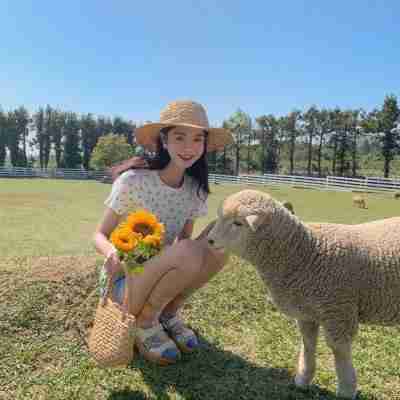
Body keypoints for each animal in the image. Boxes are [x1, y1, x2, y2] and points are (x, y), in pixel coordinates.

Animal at [208, 190, 400, 400]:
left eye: (238, 223)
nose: (209, 240)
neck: (307, 253)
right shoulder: (307, 313)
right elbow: (308, 344)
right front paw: (303, 380)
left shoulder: (338, 311)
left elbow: (339, 352)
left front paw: (346, 391)